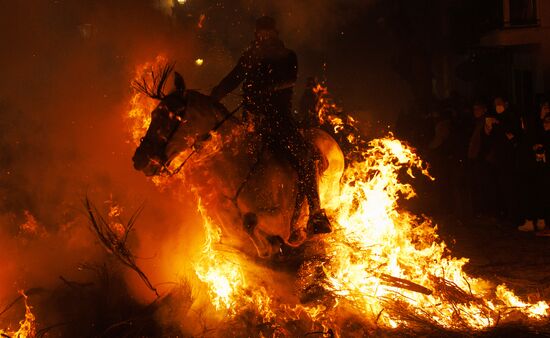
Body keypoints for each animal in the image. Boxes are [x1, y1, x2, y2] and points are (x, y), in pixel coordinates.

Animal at [133, 68, 344, 258]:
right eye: (154, 113)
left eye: (174, 115)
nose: (139, 159)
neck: (241, 168)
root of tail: (330, 140)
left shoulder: (282, 221)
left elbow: (249, 222)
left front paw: (275, 244)